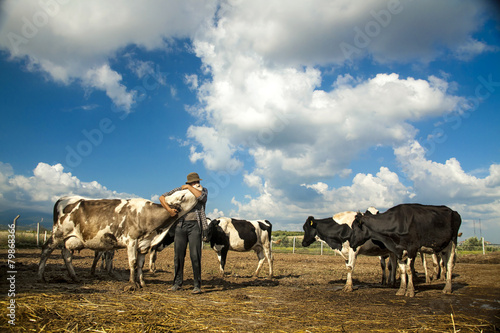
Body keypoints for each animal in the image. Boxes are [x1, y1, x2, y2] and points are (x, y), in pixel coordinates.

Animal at [38, 189, 197, 288]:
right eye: (182, 196)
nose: (199, 187)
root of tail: (63, 198)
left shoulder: (144, 244)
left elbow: (140, 264)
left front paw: (142, 283)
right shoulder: (131, 240)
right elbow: (132, 262)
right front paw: (132, 284)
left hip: (69, 238)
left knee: (66, 255)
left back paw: (74, 277)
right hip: (58, 233)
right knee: (46, 249)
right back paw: (41, 277)